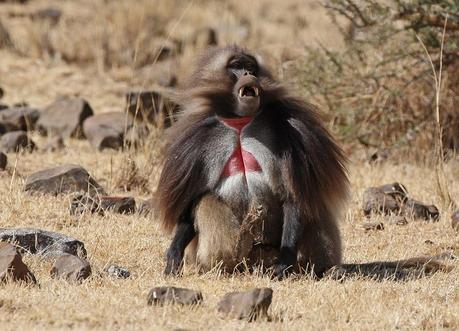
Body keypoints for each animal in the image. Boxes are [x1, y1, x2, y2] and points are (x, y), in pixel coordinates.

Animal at [155, 45, 452, 282]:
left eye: (251, 67)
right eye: (236, 67)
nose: (249, 75)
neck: (241, 122)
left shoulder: (293, 131)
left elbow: (293, 195)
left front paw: (285, 264)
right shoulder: (198, 138)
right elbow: (193, 201)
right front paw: (174, 253)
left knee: (312, 206)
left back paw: (324, 269)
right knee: (207, 203)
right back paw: (235, 252)